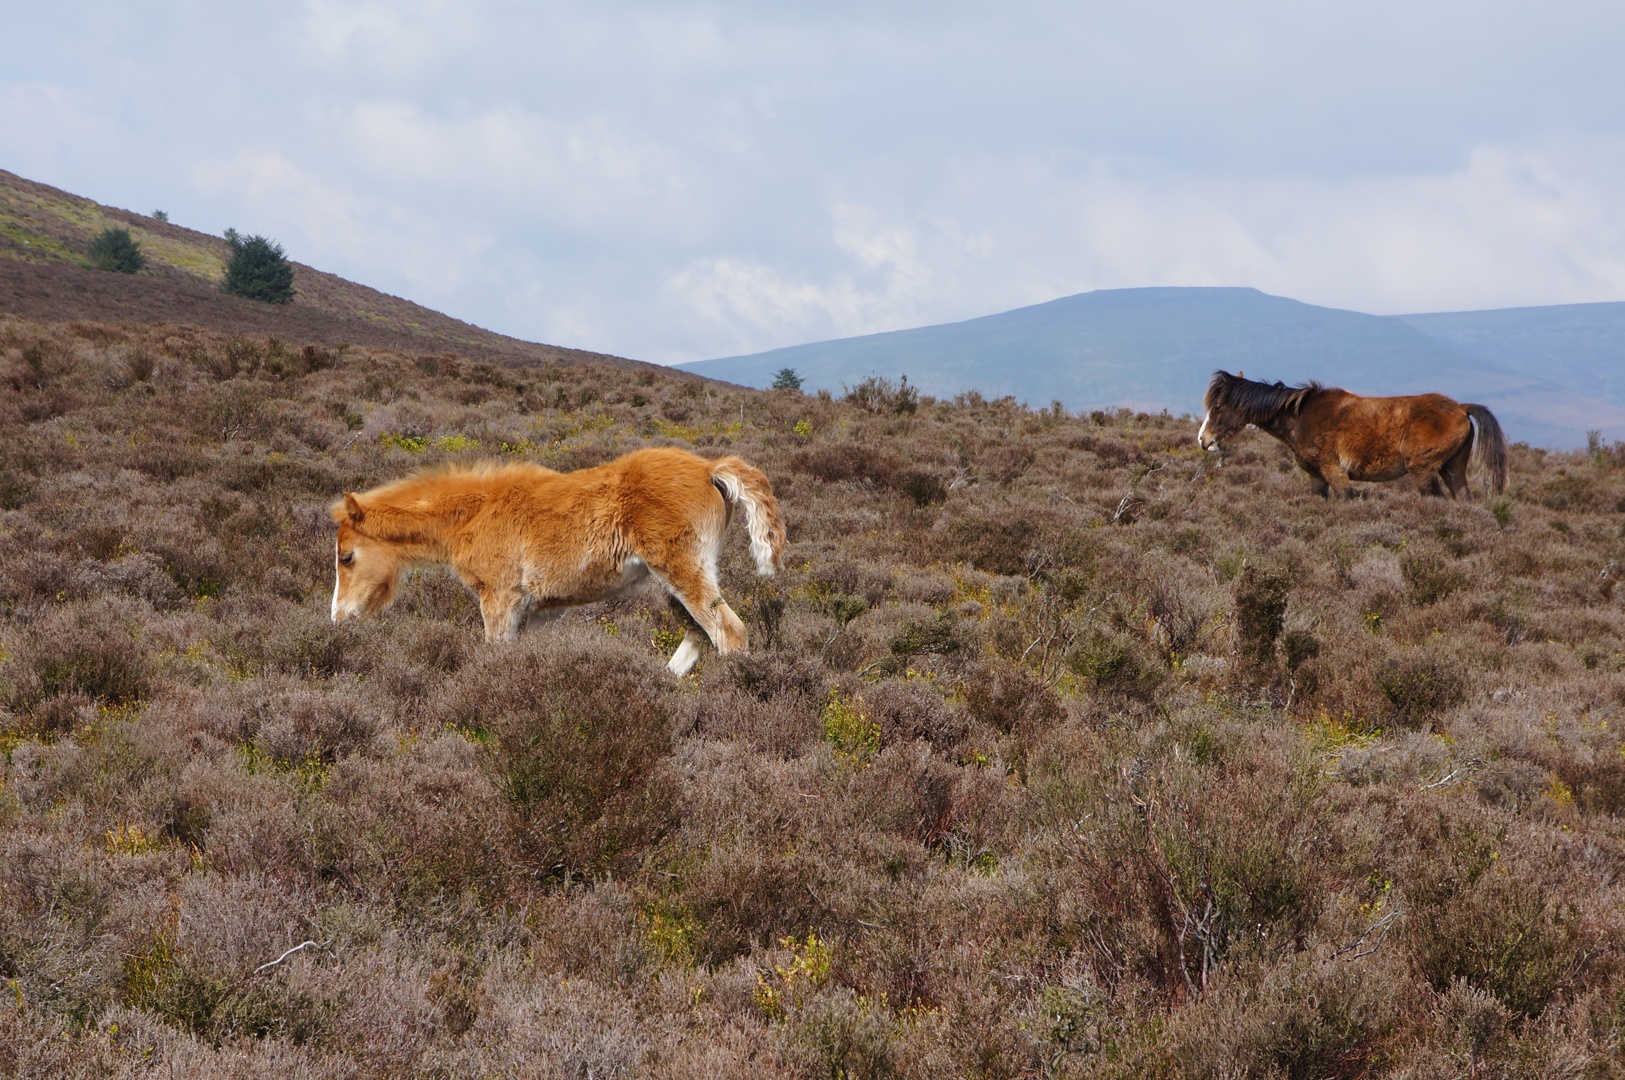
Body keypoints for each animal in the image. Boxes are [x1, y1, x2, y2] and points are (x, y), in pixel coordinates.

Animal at [326, 444, 783, 675]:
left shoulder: (500, 597)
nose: (339, 617)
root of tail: (710, 467)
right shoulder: (537, 611)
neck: (473, 512)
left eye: (347, 557)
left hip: (682, 567)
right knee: (699, 632)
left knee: (729, 632)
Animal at [1196, 368, 1508, 500]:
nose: (1203, 440)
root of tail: (1460, 409)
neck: (1302, 415)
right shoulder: (1317, 477)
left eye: (1218, 406)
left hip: (1424, 471)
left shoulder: (1335, 472)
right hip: (1452, 469)